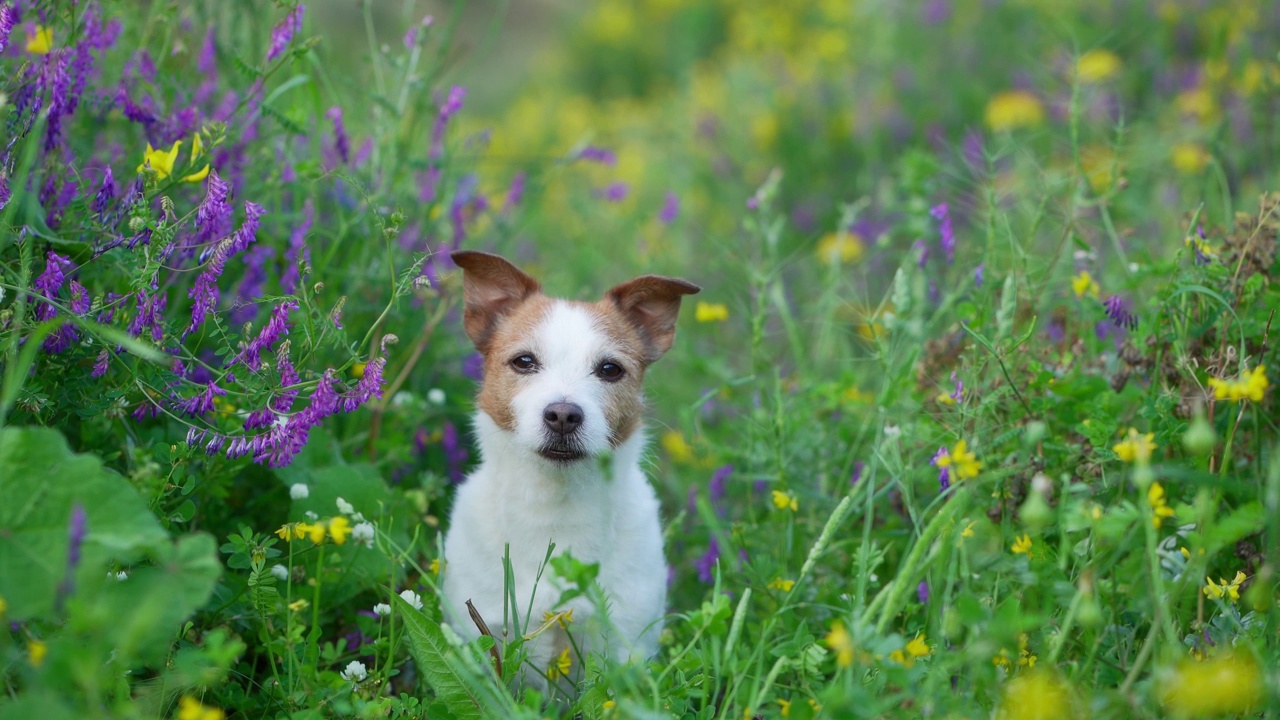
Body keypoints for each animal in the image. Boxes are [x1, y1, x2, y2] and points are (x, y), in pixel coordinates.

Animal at [440, 248, 701, 691]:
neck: (555, 507)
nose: (563, 415)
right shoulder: (484, 629)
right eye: (524, 361)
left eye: (610, 369)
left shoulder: (625, 642)